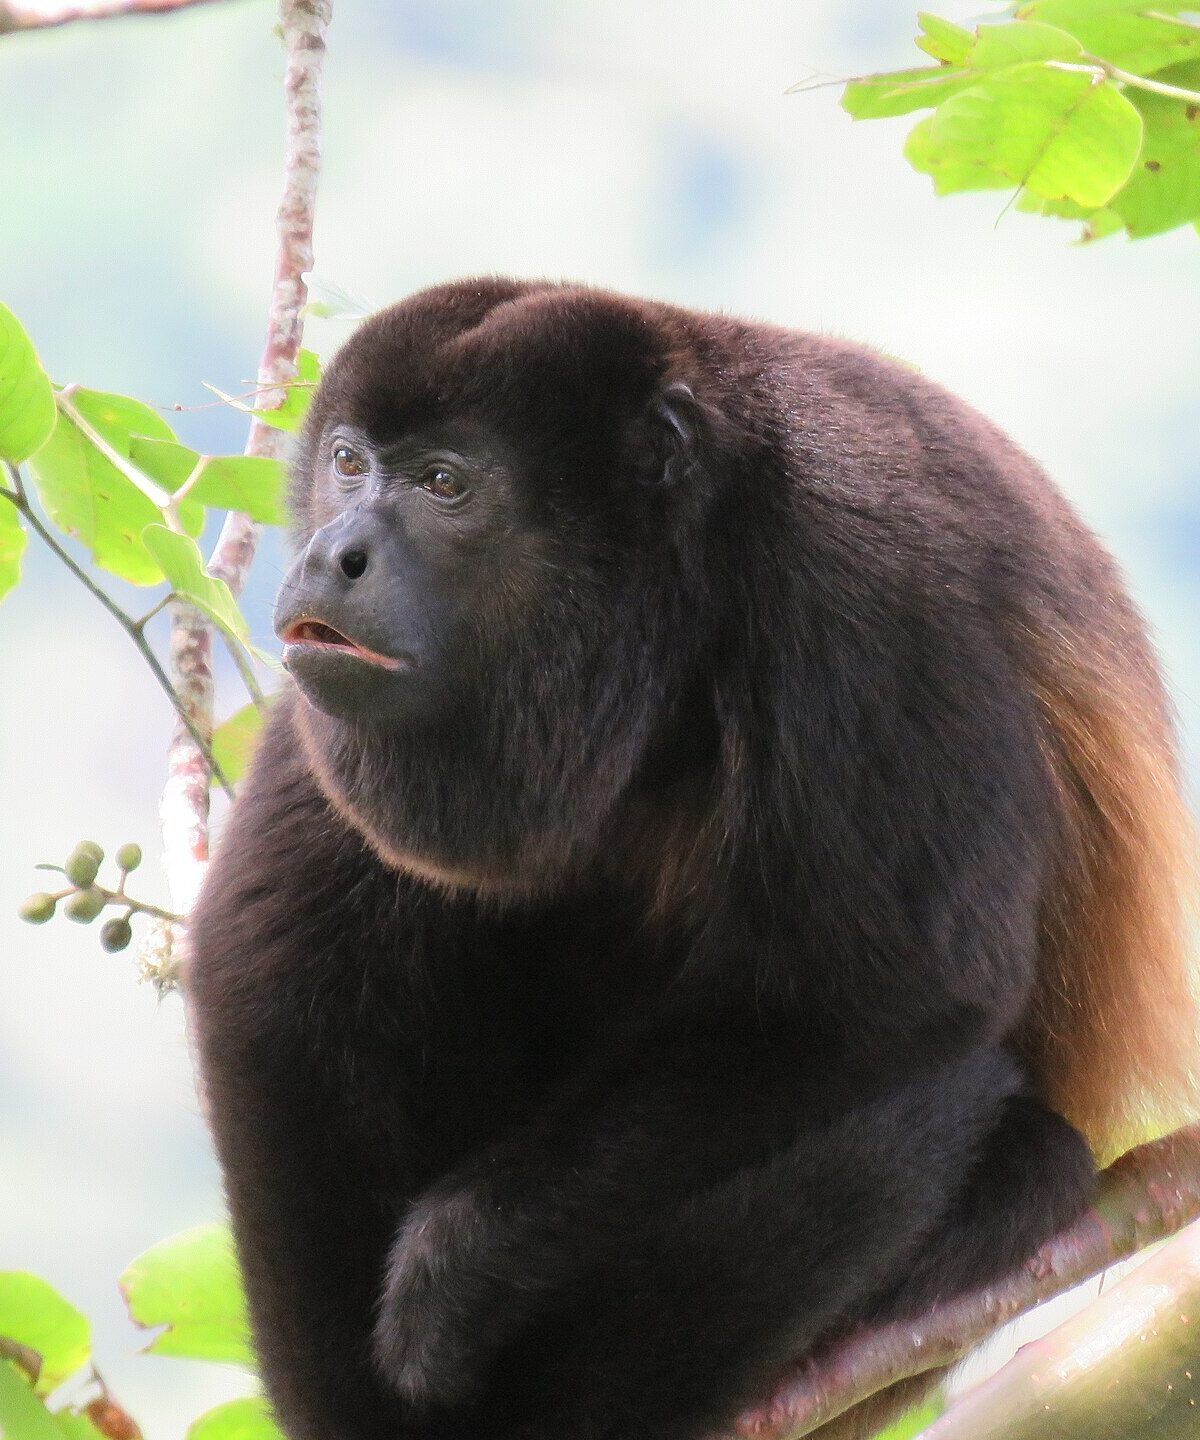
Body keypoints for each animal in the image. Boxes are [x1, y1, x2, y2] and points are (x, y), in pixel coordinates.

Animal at [186, 277, 1199, 1440]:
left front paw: (456, 1268)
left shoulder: (865, 564)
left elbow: (899, 986)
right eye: (350, 463)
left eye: (446, 484)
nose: (329, 552)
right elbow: (262, 961)